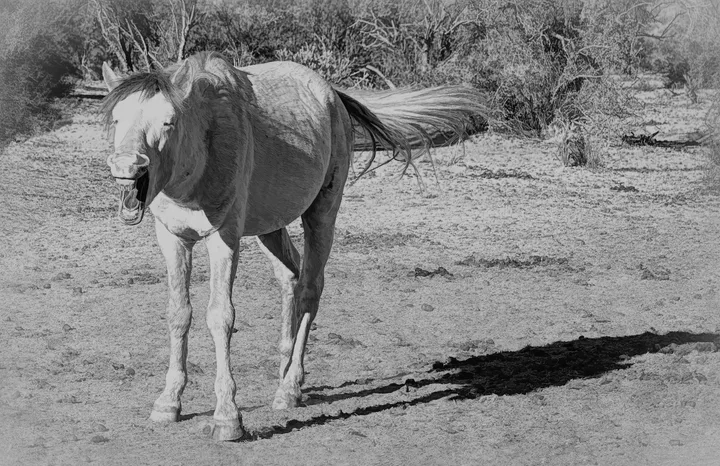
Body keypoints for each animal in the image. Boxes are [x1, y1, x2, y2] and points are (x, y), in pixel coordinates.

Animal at [100, 51, 485, 441]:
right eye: (117, 118)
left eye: (169, 121)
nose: (127, 166)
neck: (200, 152)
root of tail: (333, 95)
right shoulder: (173, 238)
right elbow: (178, 313)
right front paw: (168, 402)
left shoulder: (223, 238)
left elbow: (220, 317)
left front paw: (227, 417)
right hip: (270, 225)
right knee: (290, 277)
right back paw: (285, 371)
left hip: (322, 214)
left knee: (309, 290)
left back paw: (290, 388)